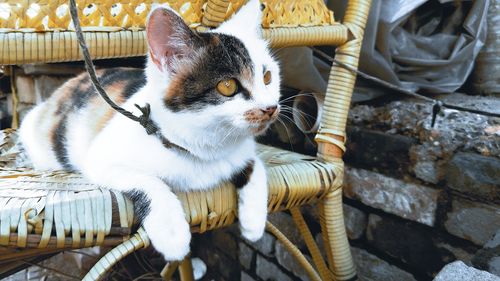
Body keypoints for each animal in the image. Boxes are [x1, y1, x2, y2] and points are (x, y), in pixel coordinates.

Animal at [19, 0, 280, 260]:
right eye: (228, 86)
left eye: (267, 76)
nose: (270, 108)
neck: (207, 146)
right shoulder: (100, 157)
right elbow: (150, 182)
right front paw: (172, 232)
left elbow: (255, 165)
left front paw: (254, 221)